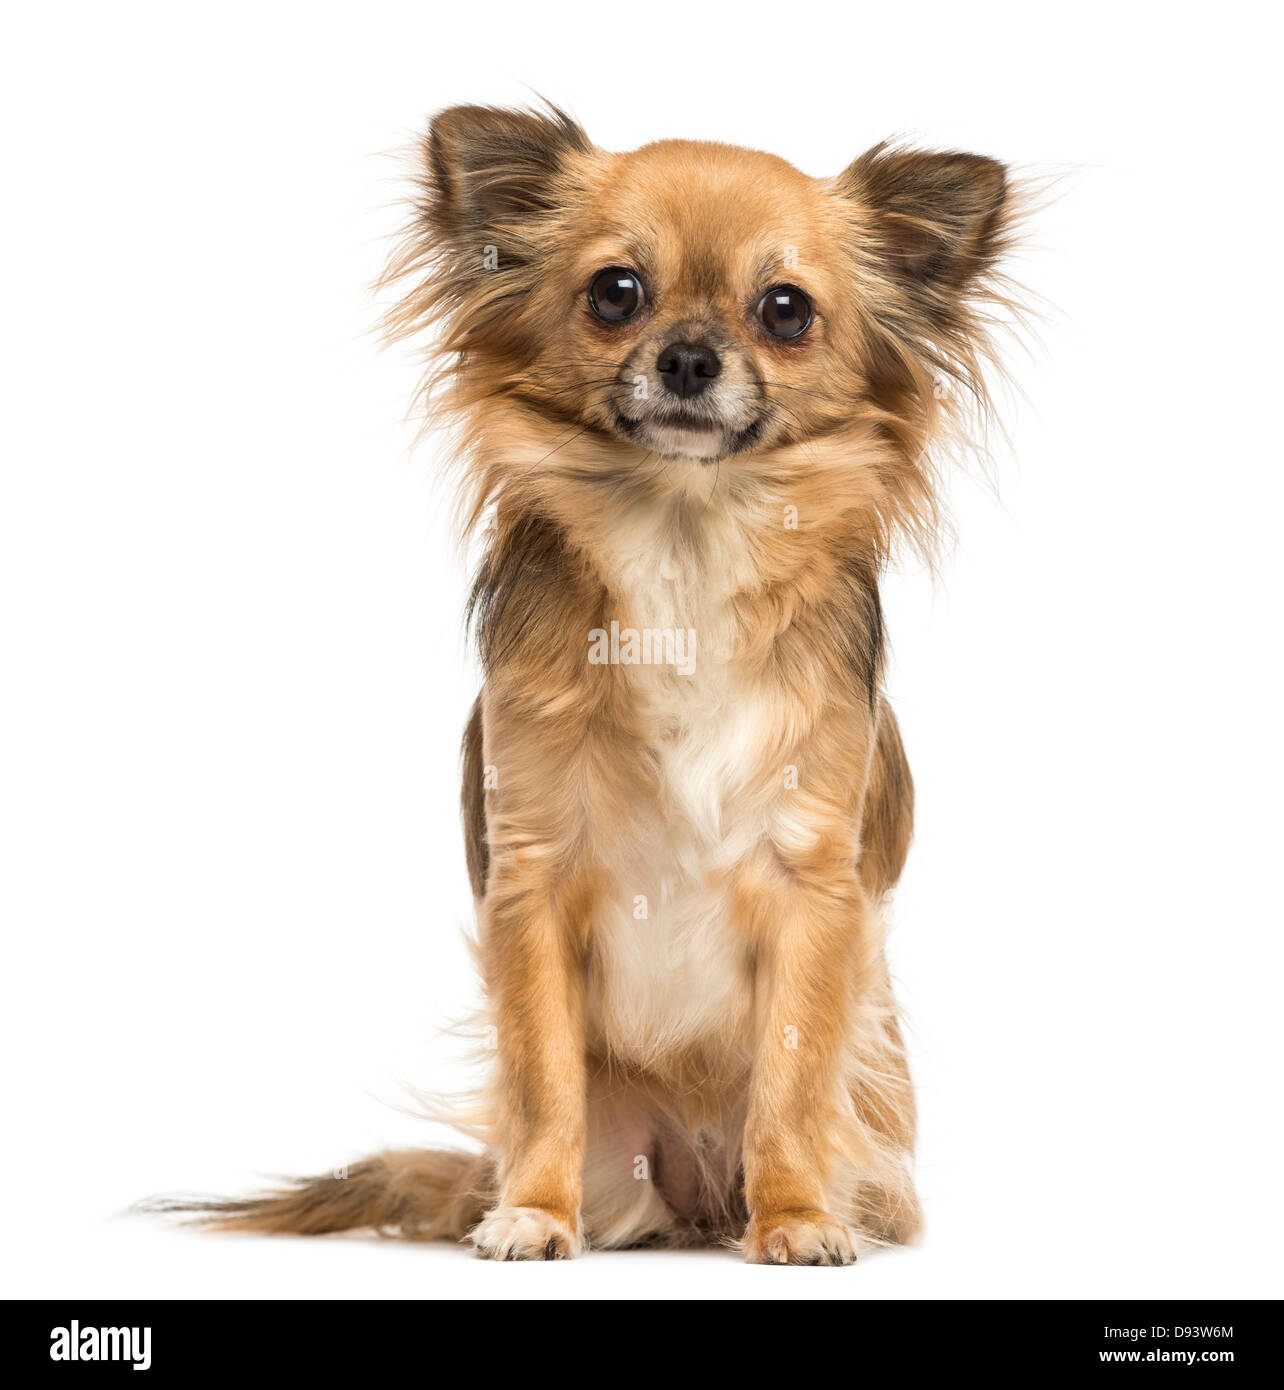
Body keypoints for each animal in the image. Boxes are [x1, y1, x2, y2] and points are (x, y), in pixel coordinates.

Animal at [170, 105, 1022, 1262]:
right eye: (617, 292)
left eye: (786, 310)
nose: (691, 356)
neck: (685, 544)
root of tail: (699, 1196)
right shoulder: (532, 878)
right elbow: (545, 1076)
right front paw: (533, 1210)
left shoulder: (814, 887)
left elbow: (793, 1075)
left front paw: (798, 1215)